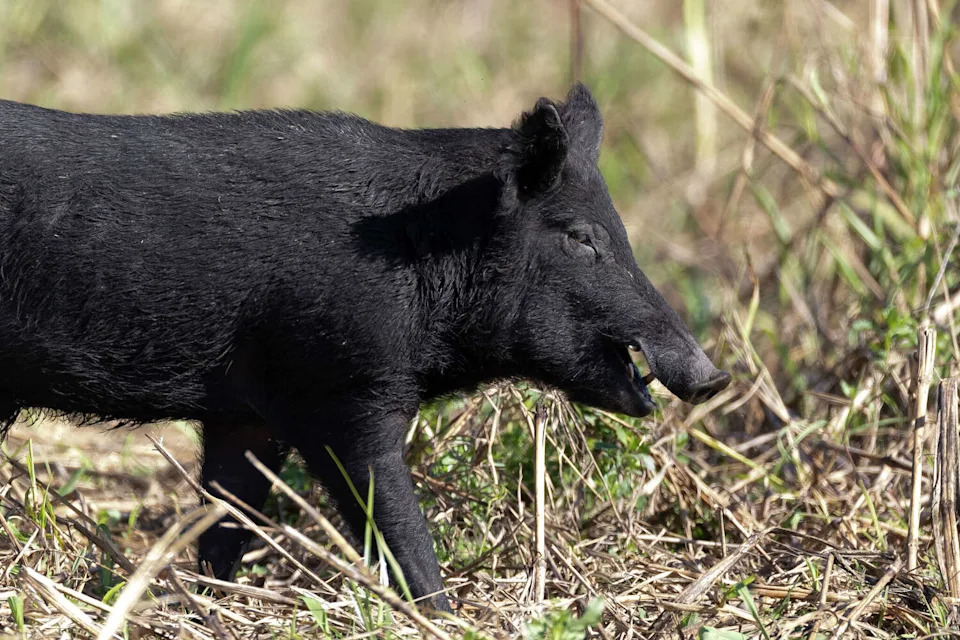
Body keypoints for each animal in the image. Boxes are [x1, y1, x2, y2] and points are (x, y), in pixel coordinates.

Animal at [0, 84, 730, 612]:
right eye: (580, 237)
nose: (714, 376)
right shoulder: (344, 391)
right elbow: (392, 523)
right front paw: (442, 614)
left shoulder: (248, 415)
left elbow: (229, 517)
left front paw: (211, 606)